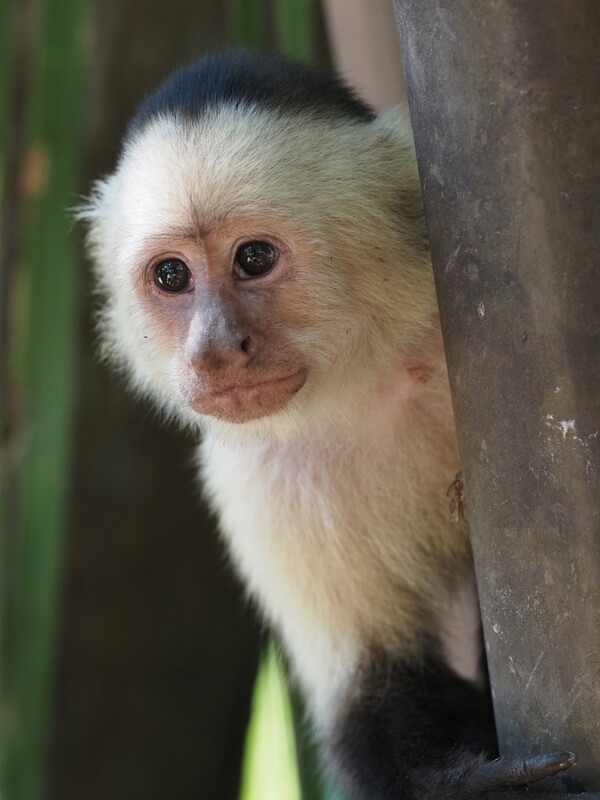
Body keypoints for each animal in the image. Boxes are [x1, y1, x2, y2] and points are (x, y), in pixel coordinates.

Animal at [79, 51, 580, 800]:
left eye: (254, 258)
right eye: (171, 275)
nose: (213, 351)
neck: (377, 375)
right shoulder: (256, 480)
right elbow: (368, 703)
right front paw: (471, 783)